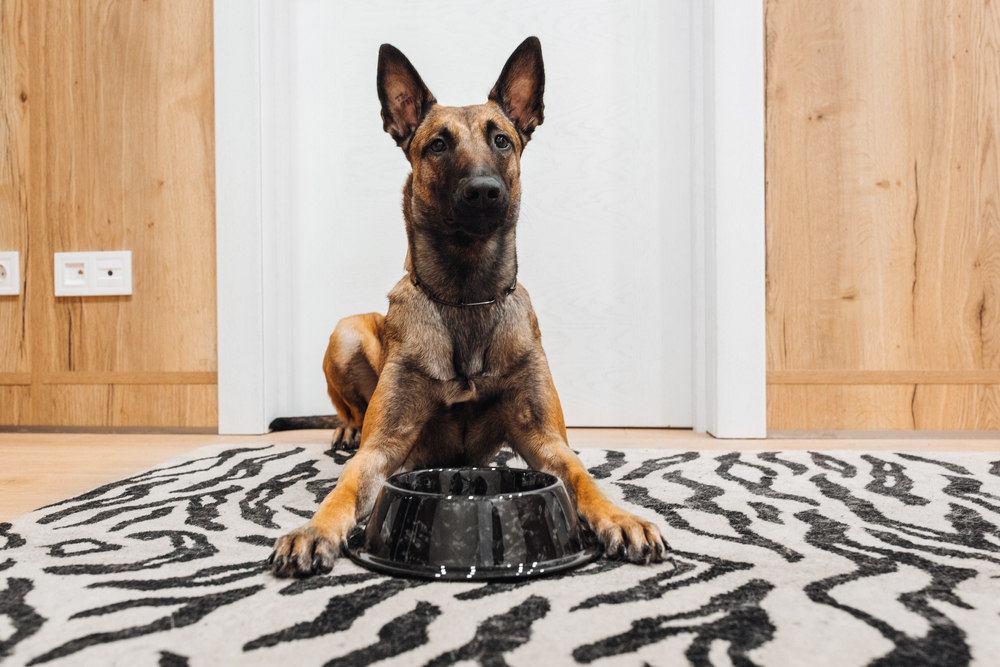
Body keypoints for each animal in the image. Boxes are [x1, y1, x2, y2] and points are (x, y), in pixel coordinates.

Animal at [270, 37, 668, 580]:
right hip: (346, 330)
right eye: (437, 145)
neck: (466, 295)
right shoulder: (384, 448)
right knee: (346, 409)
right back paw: (346, 427)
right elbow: (346, 487)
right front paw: (314, 529)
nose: (483, 191)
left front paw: (620, 517)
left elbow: (582, 477)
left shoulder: (545, 439)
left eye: (501, 140)